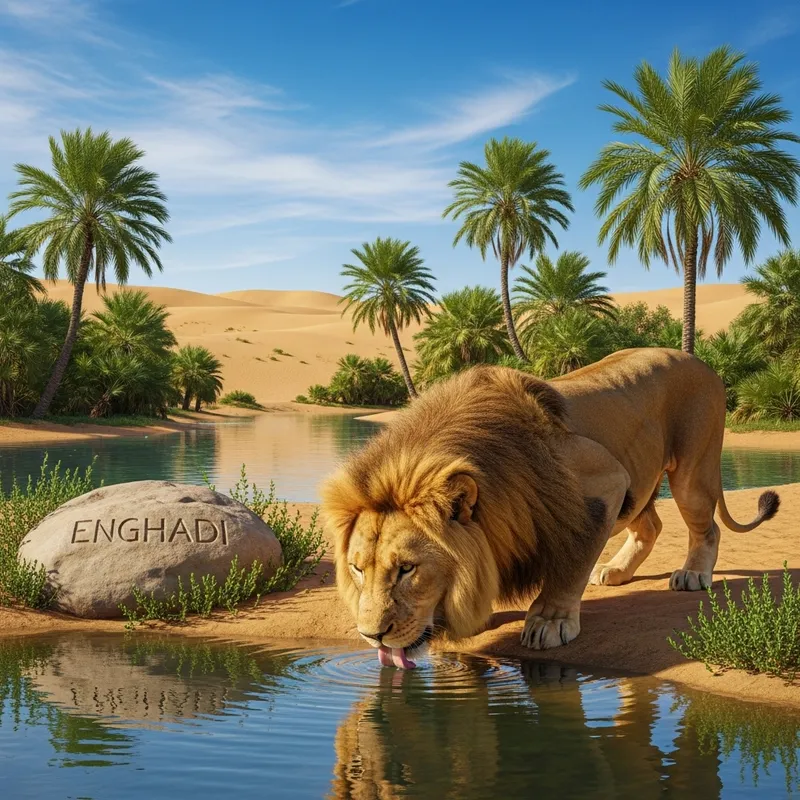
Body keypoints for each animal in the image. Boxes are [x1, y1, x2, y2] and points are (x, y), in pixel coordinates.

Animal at [321, 348, 779, 663]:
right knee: (650, 526)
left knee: (706, 526)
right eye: (357, 569)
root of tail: (700, 360)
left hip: (690, 471)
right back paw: (615, 570)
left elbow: (570, 564)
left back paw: (693, 574)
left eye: (407, 569)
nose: (371, 636)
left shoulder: (604, 482)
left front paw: (550, 621)